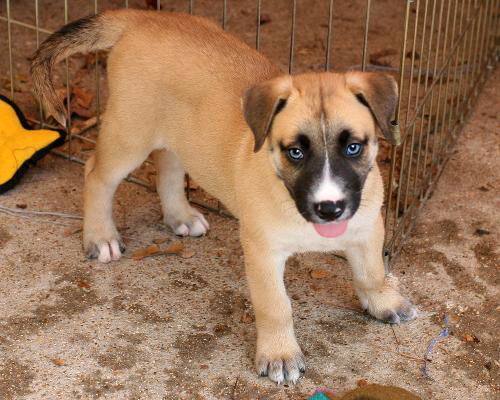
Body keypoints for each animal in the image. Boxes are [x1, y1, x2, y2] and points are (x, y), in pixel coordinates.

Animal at [29, 10, 416, 384]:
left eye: (353, 147)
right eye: (294, 152)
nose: (330, 208)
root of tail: (141, 17)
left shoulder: (368, 226)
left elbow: (372, 272)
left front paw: (384, 302)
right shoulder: (262, 252)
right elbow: (276, 306)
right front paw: (280, 355)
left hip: (180, 135)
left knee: (167, 167)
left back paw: (181, 216)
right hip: (130, 133)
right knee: (96, 174)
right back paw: (101, 236)